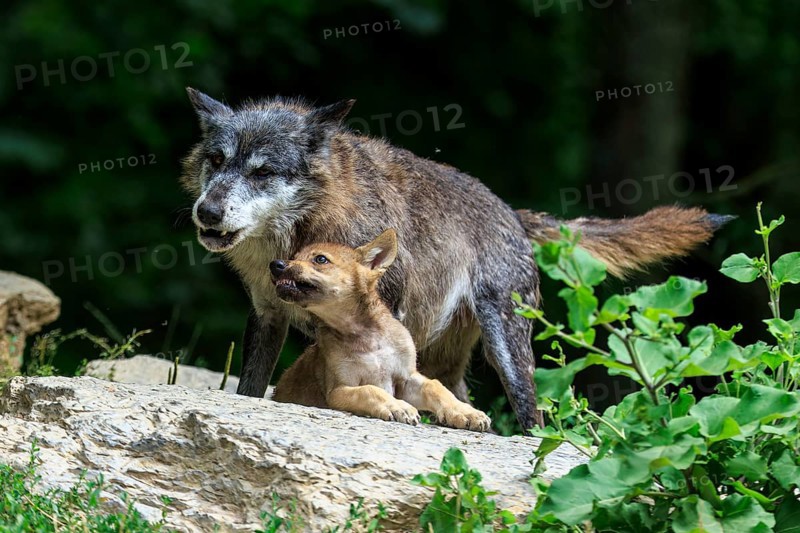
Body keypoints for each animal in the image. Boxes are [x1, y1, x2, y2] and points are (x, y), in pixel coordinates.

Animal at [269, 229, 492, 432]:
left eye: (320, 259)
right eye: (294, 257)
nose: (275, 265)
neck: (367, 337)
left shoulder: (406, 378)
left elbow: (436, 386)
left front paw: (465, 412)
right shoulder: (339, 389)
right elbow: (371, 390)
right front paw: (397, 407)